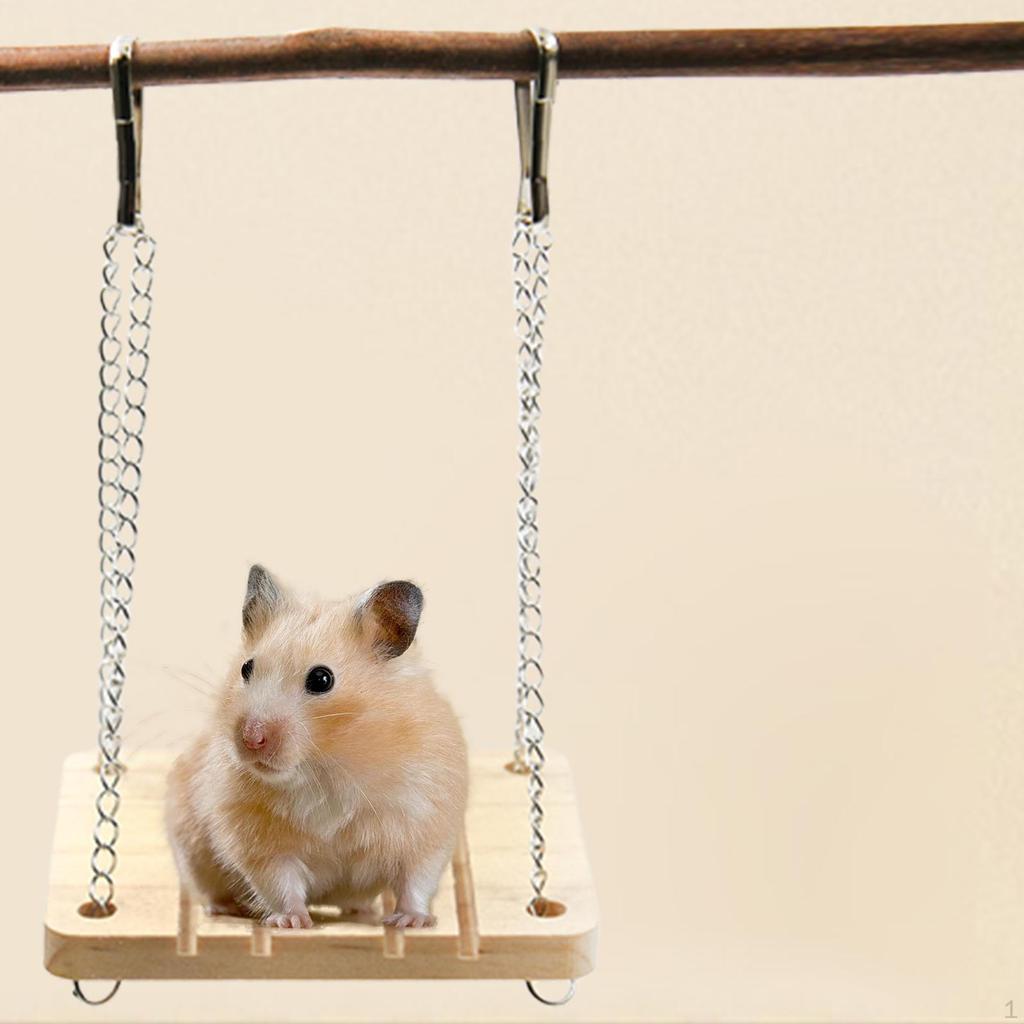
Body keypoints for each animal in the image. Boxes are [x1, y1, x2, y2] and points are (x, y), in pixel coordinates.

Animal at [165, 565, 469, 929]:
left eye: (322, 679)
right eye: (246, 668)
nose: (251, 739)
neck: (325, 766)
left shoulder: (426, 822)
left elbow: (416, 880)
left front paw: (411, 921)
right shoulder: (257, 840)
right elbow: (280, 882)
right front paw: (291, 922)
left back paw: (363, 911)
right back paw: (225, 908)